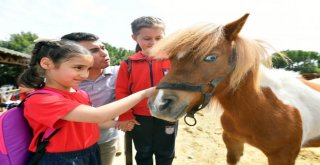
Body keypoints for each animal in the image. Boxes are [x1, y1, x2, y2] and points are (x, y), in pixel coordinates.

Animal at [147, 13, 320, 164]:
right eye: (171, 58)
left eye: (211, 57)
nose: (158, 104)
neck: (261, 106)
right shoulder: (232, 142)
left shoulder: (283, 156)